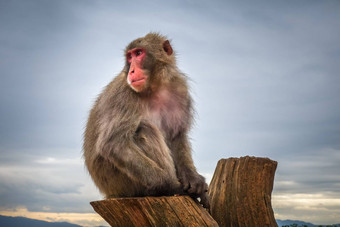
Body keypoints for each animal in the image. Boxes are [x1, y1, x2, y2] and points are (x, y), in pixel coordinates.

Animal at [83, 32, 210, 208]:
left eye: (138, 53)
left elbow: (177, 136)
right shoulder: (125, 94)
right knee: (144, 128)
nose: (131, 70)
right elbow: (113, 143)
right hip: (122, 183)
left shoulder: (180, 89)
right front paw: (173, 185)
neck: (155, 87)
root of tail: (109, 193)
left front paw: (194, 180)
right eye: (129, 57)